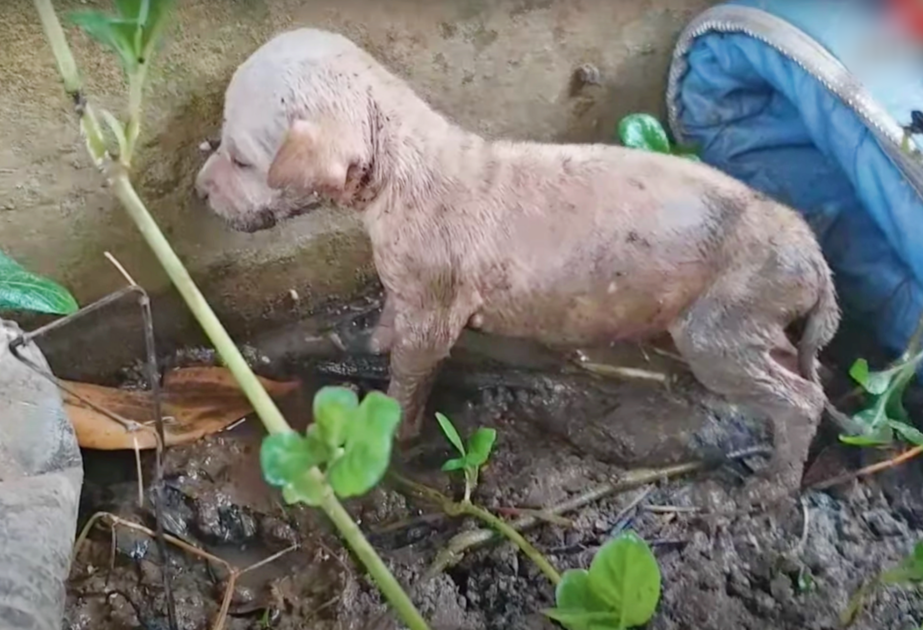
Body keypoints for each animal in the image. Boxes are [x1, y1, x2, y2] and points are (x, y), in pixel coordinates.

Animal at [197, 29, 844, 496]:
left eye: (241, 158)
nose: (199, 190)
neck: (402, 164)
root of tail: (814, 258)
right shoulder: (409, 287)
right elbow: (390, 318)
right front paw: (370, 339)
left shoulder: (434, 306)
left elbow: (411, 372)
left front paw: (394, 435)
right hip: (754, 324)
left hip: (719, 332)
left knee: (800, 401)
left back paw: (776, 484)